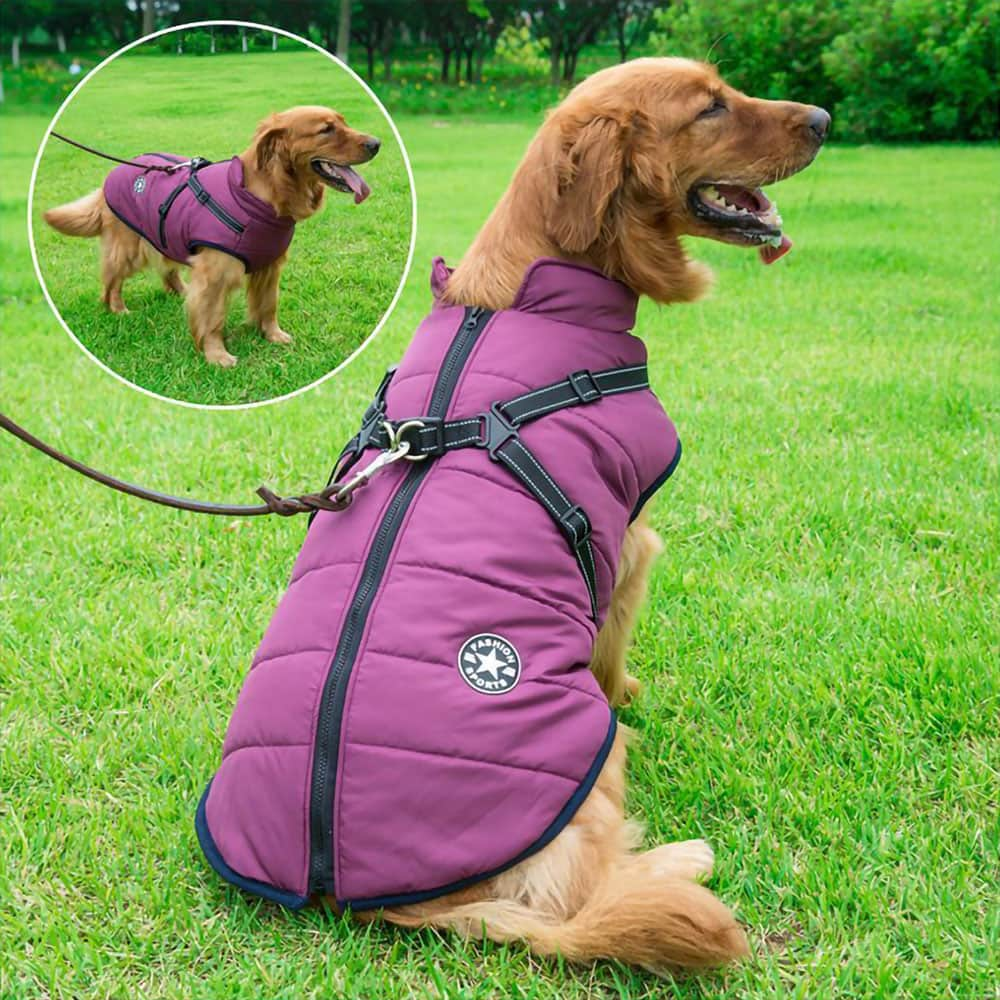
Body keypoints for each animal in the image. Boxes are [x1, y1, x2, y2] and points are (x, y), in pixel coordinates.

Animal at [43, 109, 380, 368]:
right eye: (326, 130)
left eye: (343, 122)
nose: (377, 142)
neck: (261, 199)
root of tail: (112, 177)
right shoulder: (217, 274)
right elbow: (212, 318)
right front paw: (216, 355)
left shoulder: (269, 266)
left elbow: (268, 305)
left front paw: (272, 335)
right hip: (129, 247)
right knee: (112, 279)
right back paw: (117, 308)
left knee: (169, 270)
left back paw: (181, 291)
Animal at [360, 56, 828, 976]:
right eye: (711, 107)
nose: (827, 118)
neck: (530, 290)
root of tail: (405, 904)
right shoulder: (629, 540)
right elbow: (613, 658)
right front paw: (632, 692)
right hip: (589, 760)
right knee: (580, 895)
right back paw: (681, 858)